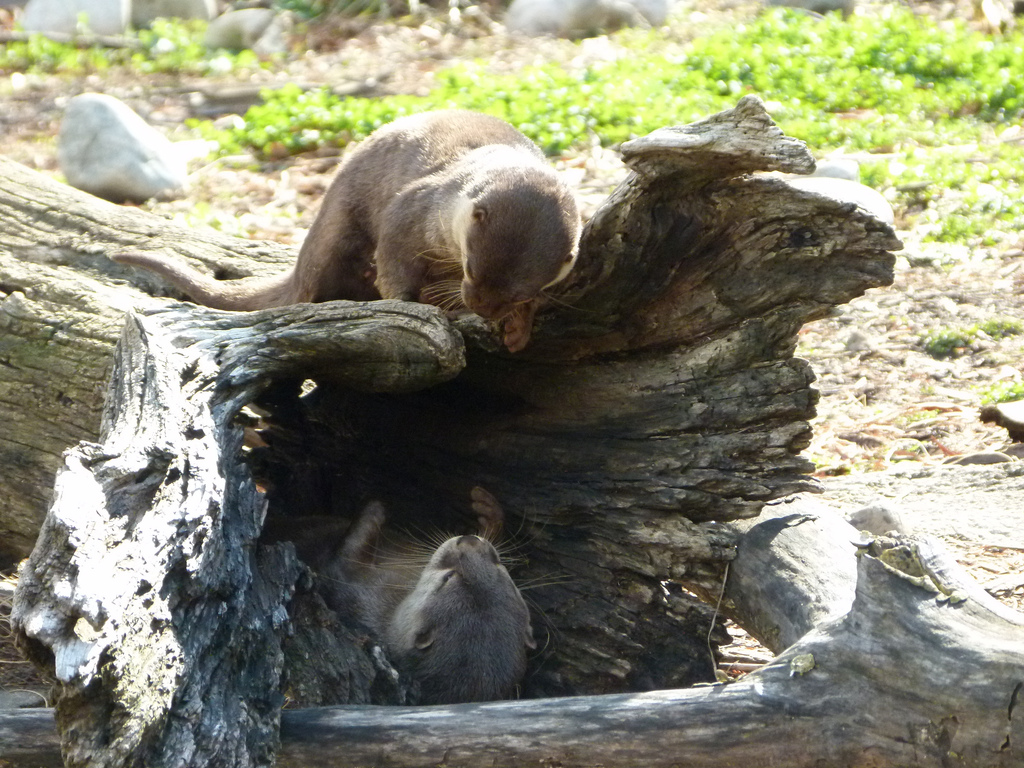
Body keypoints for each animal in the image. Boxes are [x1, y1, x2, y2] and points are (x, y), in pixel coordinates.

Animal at [113, 110, 581, 352]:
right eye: (470, 268)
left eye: (522, 290)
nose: (482, 307)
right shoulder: (413, 210)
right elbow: (394, 268)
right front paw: (414, 308)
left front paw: (518, 328)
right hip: (335, 232)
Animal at [319, 487, 536, 704]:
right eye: (500, 569)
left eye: (448, 576)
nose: (469, 540)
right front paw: (488, 514)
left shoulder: (359, 591)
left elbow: (347, 555)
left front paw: (375, 507)